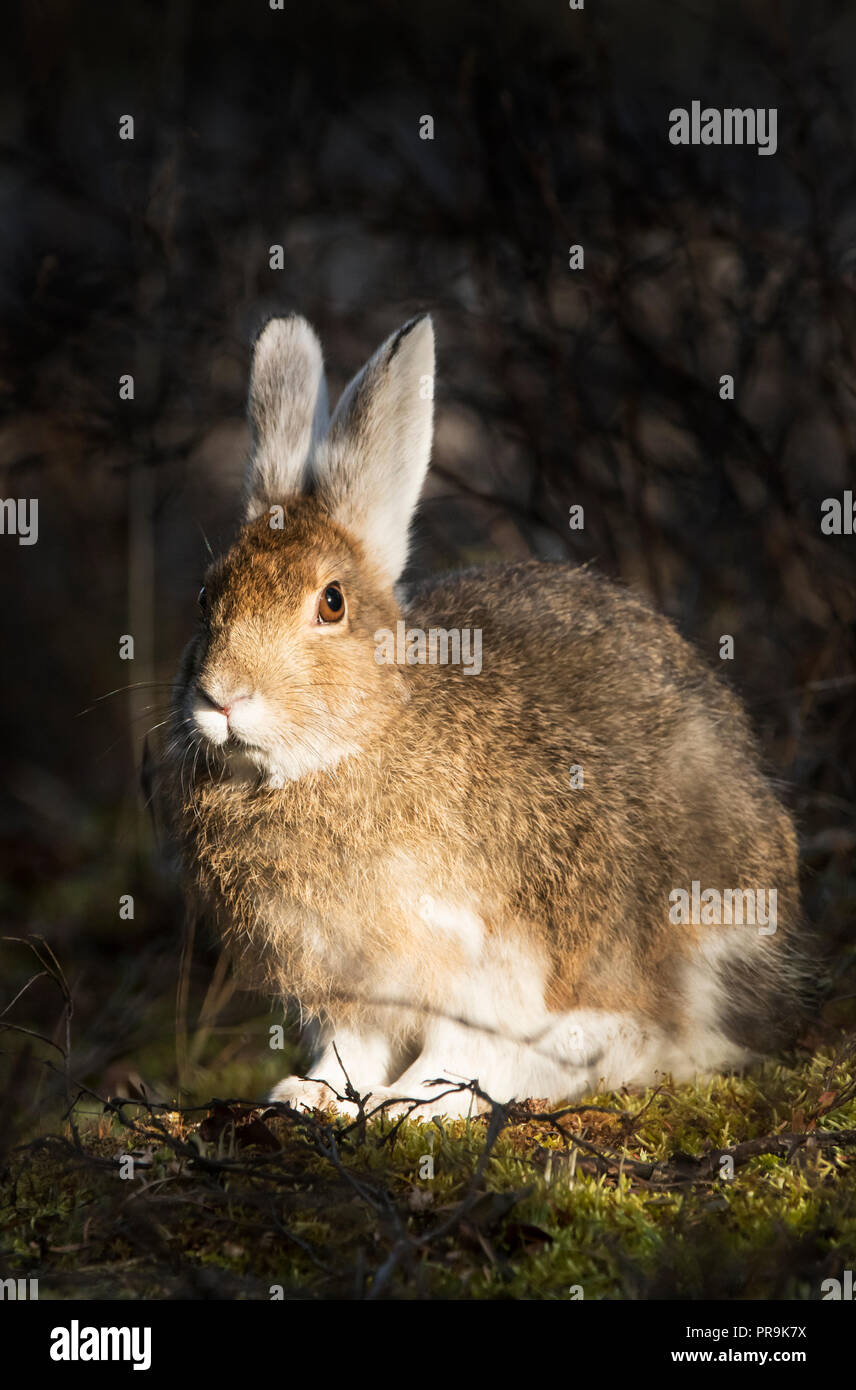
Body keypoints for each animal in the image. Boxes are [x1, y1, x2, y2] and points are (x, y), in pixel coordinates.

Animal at [158, 312, 805, 1120]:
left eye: (331, 602)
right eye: (205, 596)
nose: (223, 696)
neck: (350, 747)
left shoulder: (493, 965)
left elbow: (463, 1048)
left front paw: (416, 1103)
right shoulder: (348, 989)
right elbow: (349, 1049)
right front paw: (310, 1095)